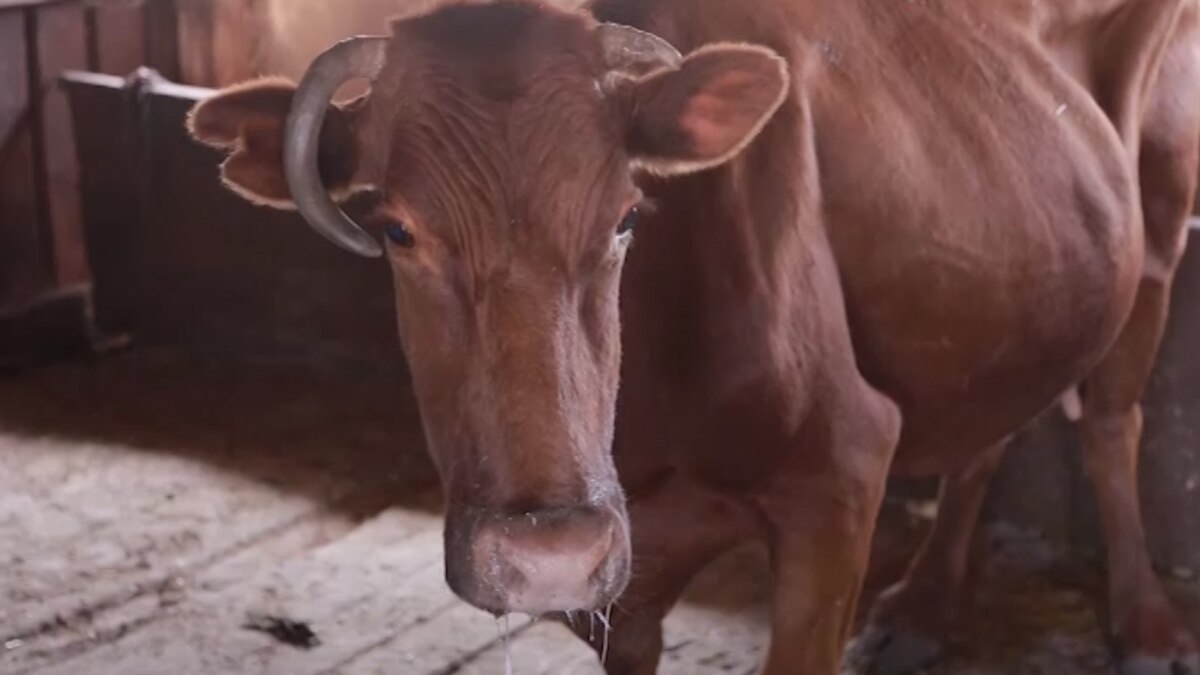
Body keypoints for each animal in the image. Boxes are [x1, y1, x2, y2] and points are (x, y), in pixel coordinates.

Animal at [187, 0, 1200, 667]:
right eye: (397, 229)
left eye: (628, 216)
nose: (546, 554)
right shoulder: (622, 584)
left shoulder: (841, 479)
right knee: (994, 417)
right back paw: (922, 608)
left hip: (1160, 218)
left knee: (1113, 426)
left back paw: (1147, 626)